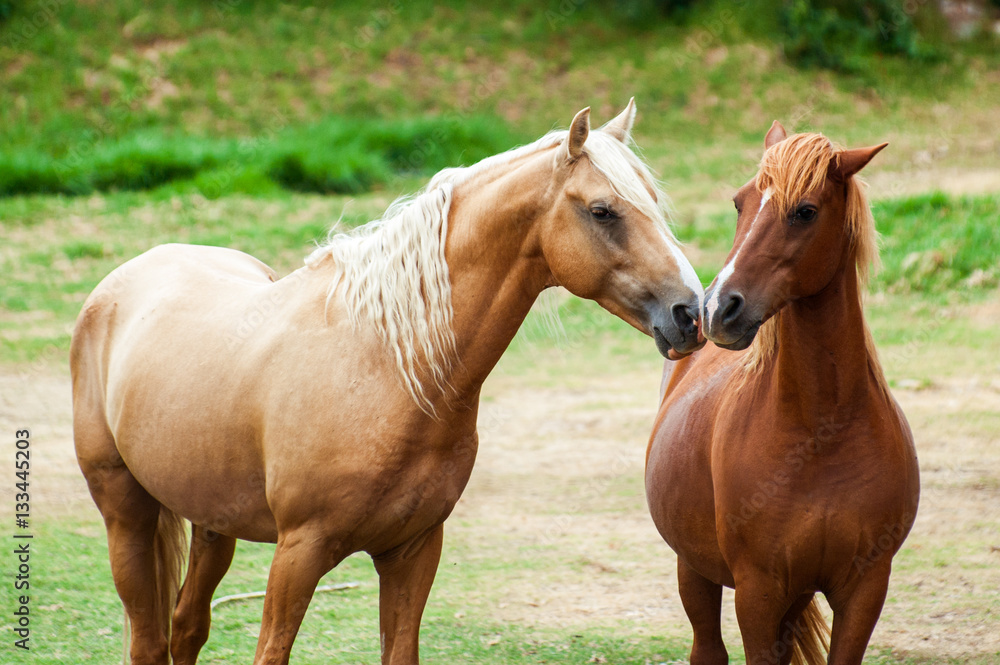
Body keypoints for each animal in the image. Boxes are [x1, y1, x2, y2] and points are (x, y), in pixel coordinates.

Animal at [72, 100, 704, 664]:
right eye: (602, 211)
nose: (690, 312)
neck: (388, 370)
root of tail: (124, 279)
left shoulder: (413, 550)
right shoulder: (297, 554)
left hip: (211, 523)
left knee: (185, 629)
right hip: (125, 514)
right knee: (148, 640)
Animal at [648, 123, 920, 664]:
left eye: (805, 211)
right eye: (740, 202)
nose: (716, 309)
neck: (820, 432)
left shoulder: (864, 588)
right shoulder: (758, 590)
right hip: (694, 569)